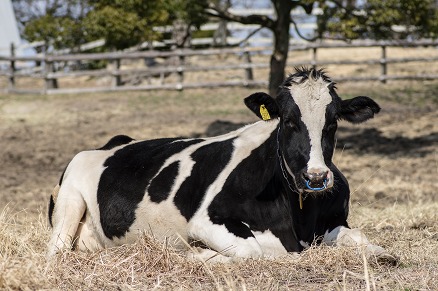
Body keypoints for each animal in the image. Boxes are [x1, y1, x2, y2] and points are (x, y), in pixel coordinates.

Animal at [48, 67, 396, 264]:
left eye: (333, 122)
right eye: (287, 120)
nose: (316, 177)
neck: (298, 215)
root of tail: (112, 143)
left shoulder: (334, 221)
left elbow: (365, 241)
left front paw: (381, 253)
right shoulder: (205, 221)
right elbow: (257, 252)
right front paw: (199, 255)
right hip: (69, 204)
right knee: (57, 252)